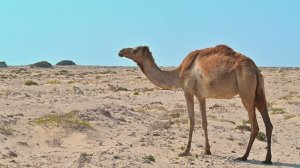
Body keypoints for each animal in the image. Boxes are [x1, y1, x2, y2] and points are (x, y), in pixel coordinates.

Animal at [118, 44, 274, 164]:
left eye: (134, 50)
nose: (120, 51)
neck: (178, 74)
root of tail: (255, 69)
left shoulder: (188, 91)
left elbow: (191, 120)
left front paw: (185, 151)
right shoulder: (201, 96)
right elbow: (204, 122)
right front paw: (207, 150)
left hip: (246, 91)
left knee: (255, 125)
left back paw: (244, 156)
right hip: (259, 91)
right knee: (268, 123)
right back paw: (267, 159)